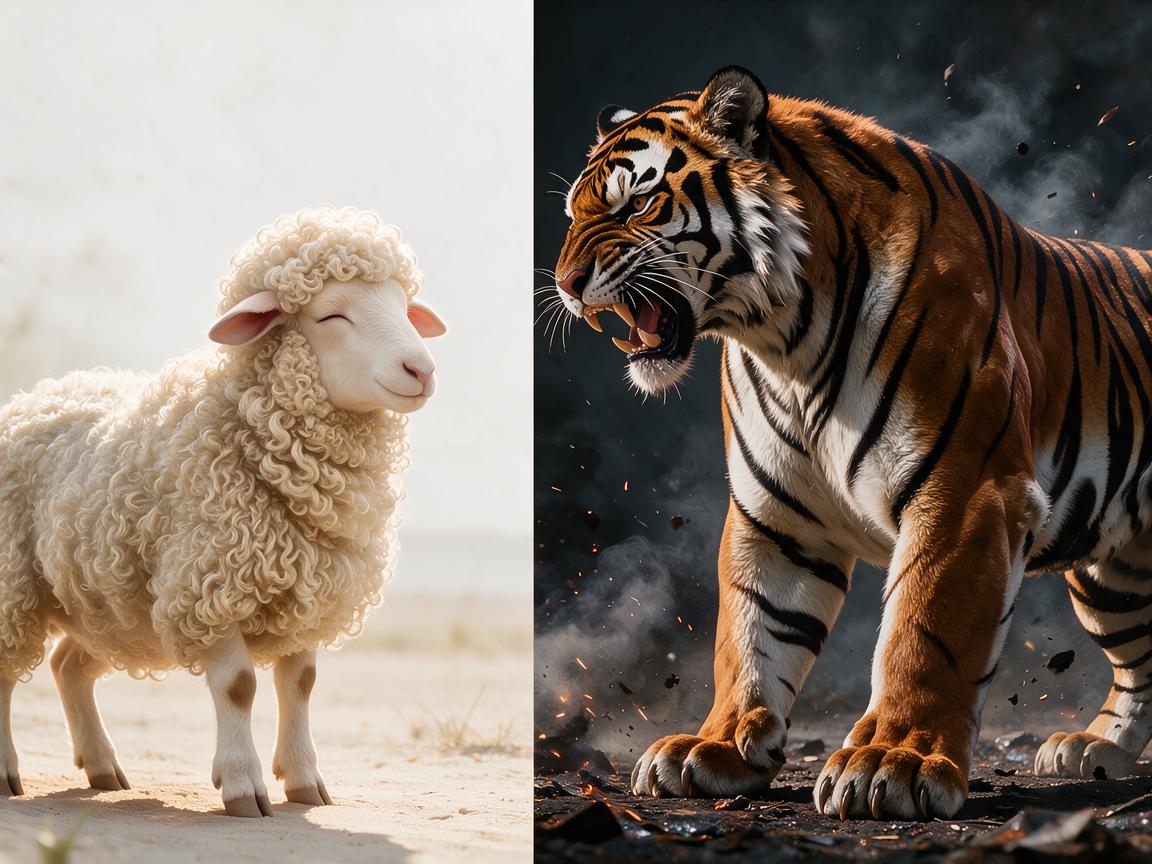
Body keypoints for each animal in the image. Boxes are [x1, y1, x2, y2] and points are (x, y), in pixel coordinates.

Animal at [548, 65, 1152, 820]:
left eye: (637, 204)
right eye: (572, 215)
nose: (565, 285)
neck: (785, 338)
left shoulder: (963, 495)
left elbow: (923, 633)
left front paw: (893, 761)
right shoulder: (775, 517)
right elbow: (749, 635)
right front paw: (714, 745)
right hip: (1112, 577)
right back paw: (1095, 749)